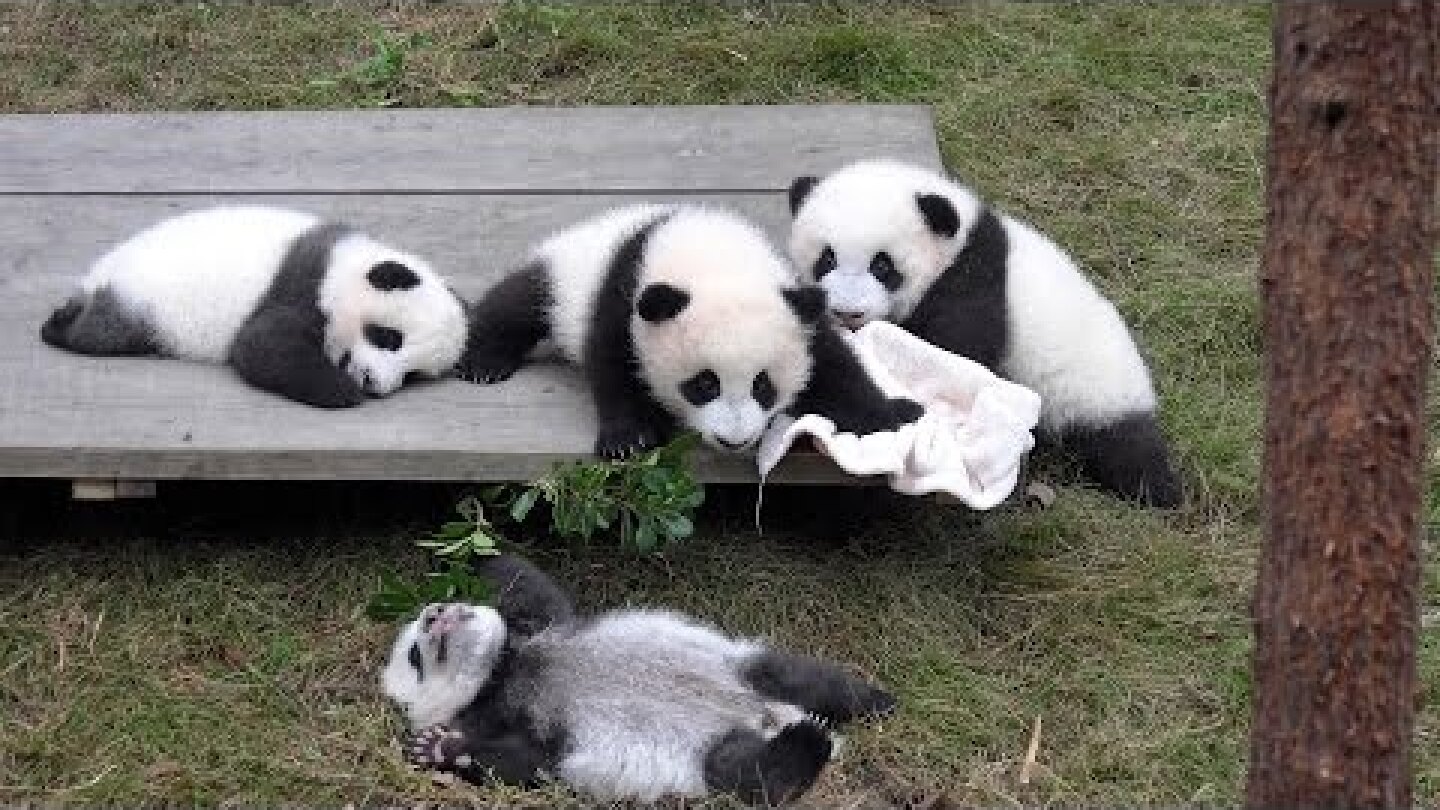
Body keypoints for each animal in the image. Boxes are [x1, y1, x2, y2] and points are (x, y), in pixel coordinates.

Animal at [40, 205, 468, 409]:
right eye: (388, 337)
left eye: (413, 375)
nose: (372, 382)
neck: (346, 264)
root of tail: (97, 274)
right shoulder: (301, 285)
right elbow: (260, 348)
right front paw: (343, 390)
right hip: (141, 303)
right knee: (101, 331)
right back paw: (59, 325)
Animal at [382, 554, 896, 805]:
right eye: (414, 657)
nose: (434, 615)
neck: (499, 672)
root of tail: (767, 717)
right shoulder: (508, 721)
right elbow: (529, 763)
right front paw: (436, 748)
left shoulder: (543, 628)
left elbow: (527, 585)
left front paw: (466, 556)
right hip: (708, 756)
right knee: (750, 774)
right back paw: (811, 738)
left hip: (741, 665)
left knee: (806, 678)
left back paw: (878, 702)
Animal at [459, 204, 922, 458]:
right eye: (703, 384)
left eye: (763, 386)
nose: (734, 440)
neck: (714, 259)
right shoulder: (625, 294)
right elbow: (613, 364)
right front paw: (628, 439)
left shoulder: (796, 307)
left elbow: (834, 367)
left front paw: (896, 414)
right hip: (564, 275)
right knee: (518, 302)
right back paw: (484, 362)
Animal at [786, 160, 1182, 508]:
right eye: (826, 259)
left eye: (882, 266)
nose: (847, 312)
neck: (960, 239)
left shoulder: (974, 279)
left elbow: (958, 348)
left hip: (1095, 392)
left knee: (1127, 449)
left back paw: (1160, 491)